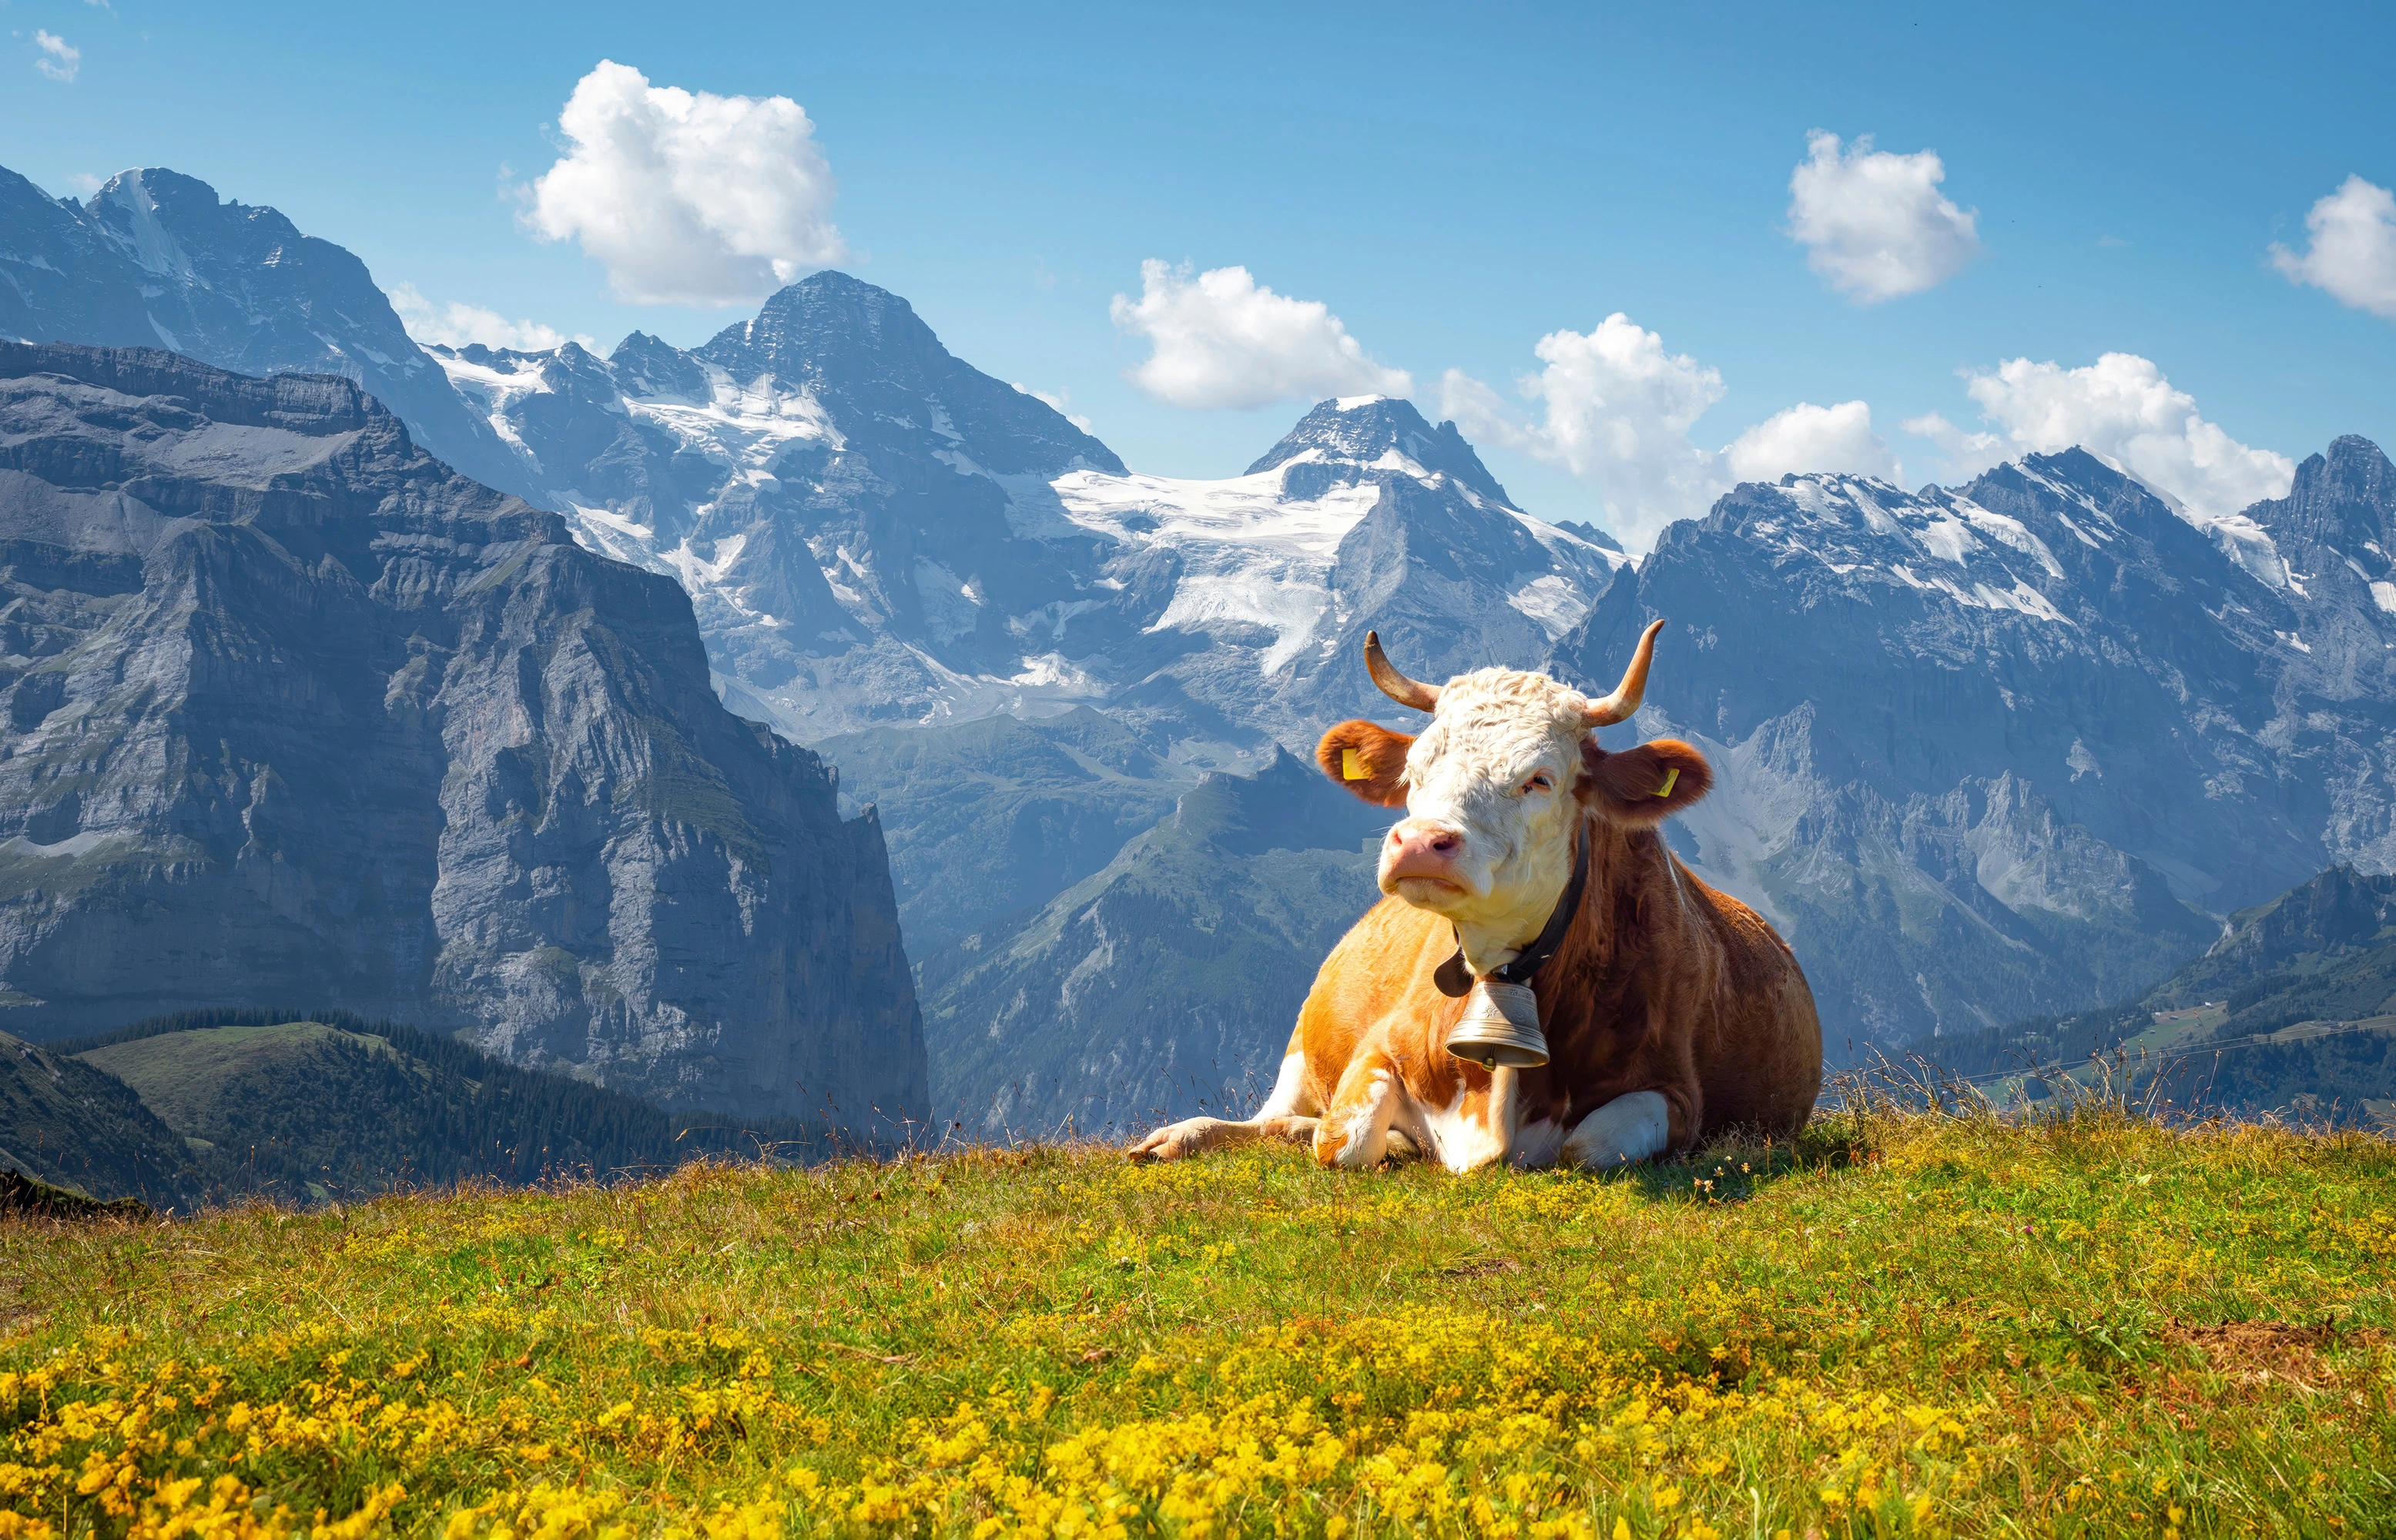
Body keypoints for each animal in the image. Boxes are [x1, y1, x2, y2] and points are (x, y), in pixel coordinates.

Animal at [1128, 621, 1822, 1172]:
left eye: (1539, 779)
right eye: (1415, 770)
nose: (1418, 843)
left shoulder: (1675, 1092)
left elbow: (1584, 1146)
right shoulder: (1377, 1043)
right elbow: (1344, 1140)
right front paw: (1389, 1139)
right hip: (1300, 1049)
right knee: (1269, 1117)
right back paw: (1177, 1137)